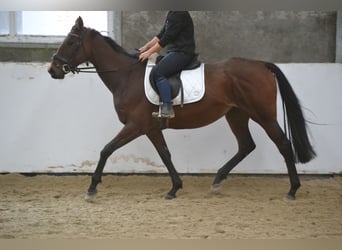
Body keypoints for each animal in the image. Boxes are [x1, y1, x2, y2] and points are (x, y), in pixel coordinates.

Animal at [47, 16, 316, 200]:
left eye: (71, 41)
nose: (52, 70)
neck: (126, 76)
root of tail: (261, 65)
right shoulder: (151, 128)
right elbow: (165, 155)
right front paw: (175, 188)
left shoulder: (136, 125)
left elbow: (106, 150)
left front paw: (92, 188)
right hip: (236, 115)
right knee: (246, 145)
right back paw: (217, 180)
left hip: (264, 115)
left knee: (283, 144)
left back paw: (293, 189)